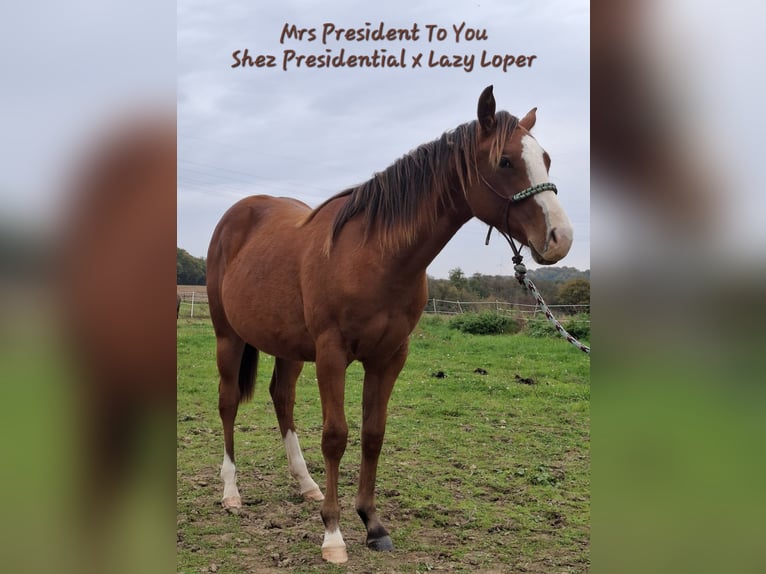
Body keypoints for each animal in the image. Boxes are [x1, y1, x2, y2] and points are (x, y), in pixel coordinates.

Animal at [206, 85, 574, 564]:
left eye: (545, 158)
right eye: (506, 161)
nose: (560, 238)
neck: (375, 255)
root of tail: (237, 215)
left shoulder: (389, 356)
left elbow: (373, 434)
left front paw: (372, 523)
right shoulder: (332, 354)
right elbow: (336, 436)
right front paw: (333, 535)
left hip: (289, 348)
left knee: (281, 399)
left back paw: (305, 484)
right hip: (228, 338)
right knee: (229, 402)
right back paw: (231, 493)